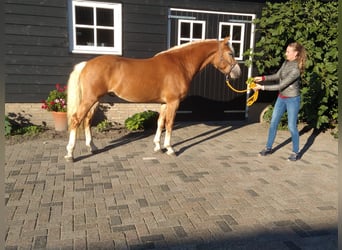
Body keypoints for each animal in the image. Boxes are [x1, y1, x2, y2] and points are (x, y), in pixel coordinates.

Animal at [64, 37, 240, 162]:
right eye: (231, 53)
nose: (237, 73)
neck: (181, 64)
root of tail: (86, 64)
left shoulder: (164, 103)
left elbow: (160, 123)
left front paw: (157, 146)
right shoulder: (173, 102)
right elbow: (169, 124)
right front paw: (170, 148)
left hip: (95, 100)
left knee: (87, 121)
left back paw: (92, 147)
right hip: (90, 99)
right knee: (76, 119)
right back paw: (70, 154)